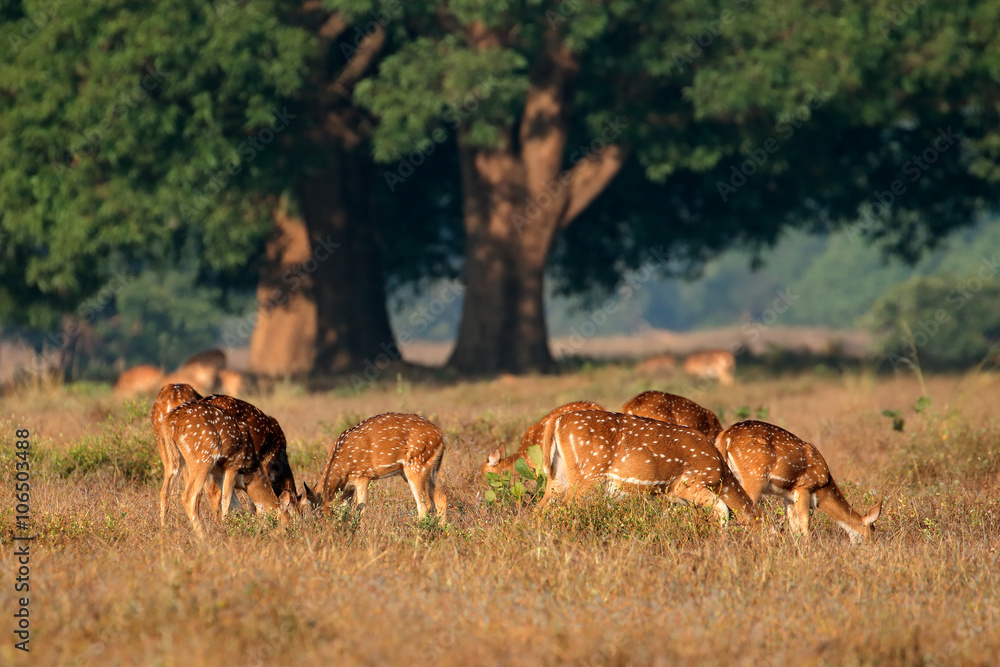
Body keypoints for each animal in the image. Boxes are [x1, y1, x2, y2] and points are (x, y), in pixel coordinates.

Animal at [162, 401, 296, 538]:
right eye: (286, 524)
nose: (285, 536)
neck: (249, 473)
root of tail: (170, 421)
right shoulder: (233, 466)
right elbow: (226, 501)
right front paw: (226, 528)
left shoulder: (218, 474)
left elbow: (236, 505)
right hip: (203, 457)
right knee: (189, 497)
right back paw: (202, 535)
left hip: (170, 456)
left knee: (165, 491)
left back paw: (163, 530)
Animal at [314, 413, 447, 521]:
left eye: (323, 516)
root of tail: (442, 437)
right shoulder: (349, 488)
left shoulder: (362, 475)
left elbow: (361, 509)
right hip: (425, 470)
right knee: (441, 497)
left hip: (416, 466)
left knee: (424, 505)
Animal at [539, 410, 761, 527]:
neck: (721, 474)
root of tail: (557, 422)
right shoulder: (688, 484)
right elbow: (723, 509)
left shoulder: (673, 499)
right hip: (587, 475)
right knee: (564, 506)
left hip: (558, 474)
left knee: (541, 506)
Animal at [715, 420, 882, 543]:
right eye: (871, 532)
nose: (871, 547)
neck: (822, 489)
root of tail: (724, 437)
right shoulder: (804, 486)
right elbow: (805, 522)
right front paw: (808, 547)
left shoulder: (788, 495)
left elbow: (794, 524)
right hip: (754, 475)